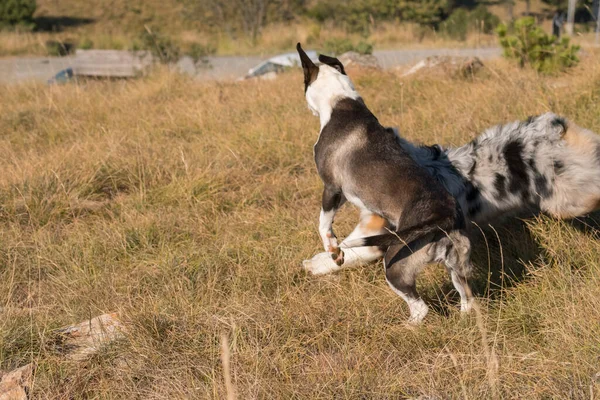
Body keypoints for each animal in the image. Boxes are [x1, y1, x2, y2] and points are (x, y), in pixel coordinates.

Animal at [298, 43, 476, 324]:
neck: (340, 100)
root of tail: (444, 217)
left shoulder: (331, 188)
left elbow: (324, 224)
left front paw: (333, 250)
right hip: (457, 267)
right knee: (467, 298)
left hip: (395, 264)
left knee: (421, 308)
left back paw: (405, 327)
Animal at [302, 111, 600, 312]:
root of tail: (555, 128)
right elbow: (343, 248)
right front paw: (318, 261)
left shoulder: (390, 237)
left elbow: (352, 251)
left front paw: (317, 263)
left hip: (569, 199)